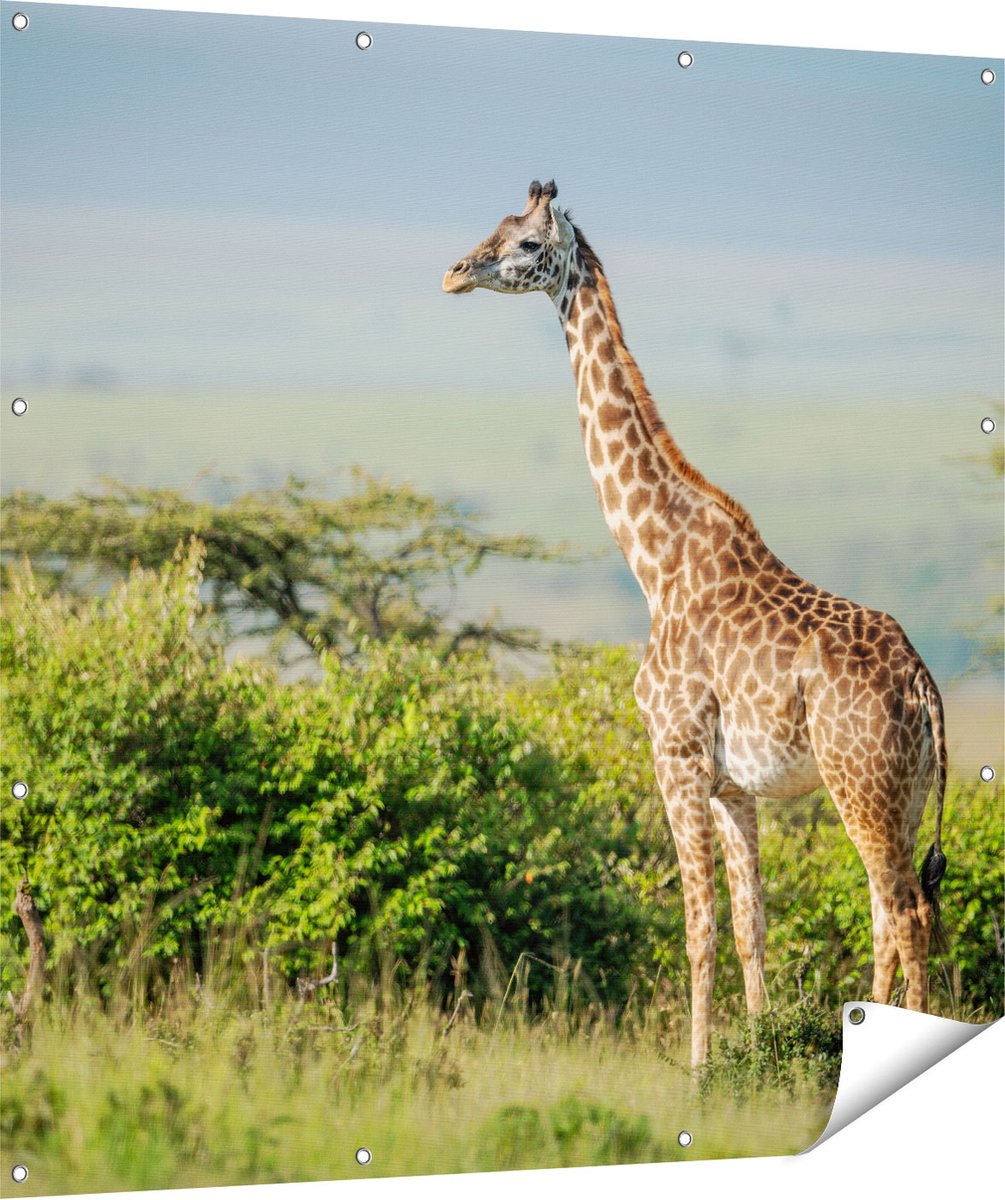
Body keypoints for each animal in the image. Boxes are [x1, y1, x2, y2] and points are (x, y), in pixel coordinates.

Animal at [443, 180, 948, 1068]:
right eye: (494, 229)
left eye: (526, 244)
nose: (454, 272)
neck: (653, 560)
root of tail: (923, 683)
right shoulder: (730, 786)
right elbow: (750, 926)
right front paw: (754, 1050)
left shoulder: (673, 757)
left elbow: (696, 927)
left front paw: (699, 1069)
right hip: (904, 795)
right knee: (891, 912)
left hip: (859, 786)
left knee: (904, 914)